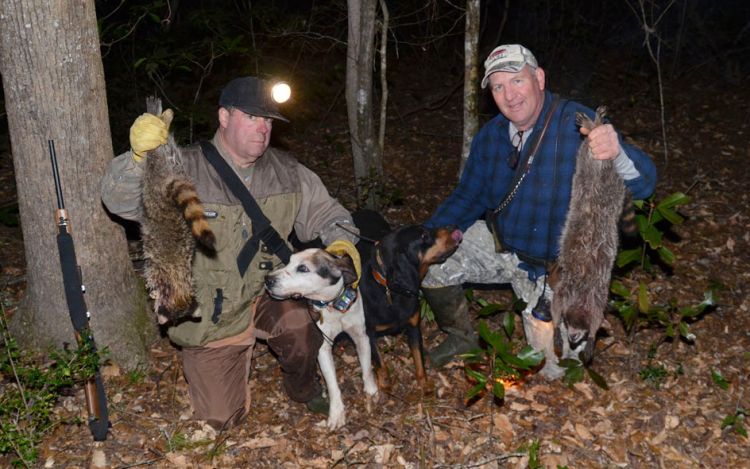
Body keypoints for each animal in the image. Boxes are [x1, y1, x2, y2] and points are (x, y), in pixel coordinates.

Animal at [141, 97, 215, 325]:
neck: (177, 282)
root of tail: (167, 183)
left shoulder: (155, 270)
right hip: (176, 165)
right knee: (166, 148)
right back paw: (162, 118)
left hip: (155, 175)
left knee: (156, 153)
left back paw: (160, 117)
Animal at [264, 248, 378, 430]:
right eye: (289, 262)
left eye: (303, 268)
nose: (267, 279)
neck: (333, 306)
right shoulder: (323, 348)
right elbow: (332, 384)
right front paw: (337, 413)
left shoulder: (361, 336)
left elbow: (367, 368)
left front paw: (371, 390)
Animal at [359, 224, 462, 391]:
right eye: (423, 236)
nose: (454, 228)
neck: (390, 290)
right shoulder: (368, 333)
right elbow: (379, 361)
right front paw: (384, 382)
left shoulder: (414, 328)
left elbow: (419, 359)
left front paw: (424, 383)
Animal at [552, 106, 627, 364]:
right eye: (571, 329)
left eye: (579, 332)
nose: (573, 338)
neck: (580, 299)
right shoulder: (569, 289)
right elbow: (556, 303)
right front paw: (556, 328)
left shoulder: (595, 296)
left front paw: (593, 335)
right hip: (593, 165)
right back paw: (594, 125)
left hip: (602, 171)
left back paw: (596, 126)